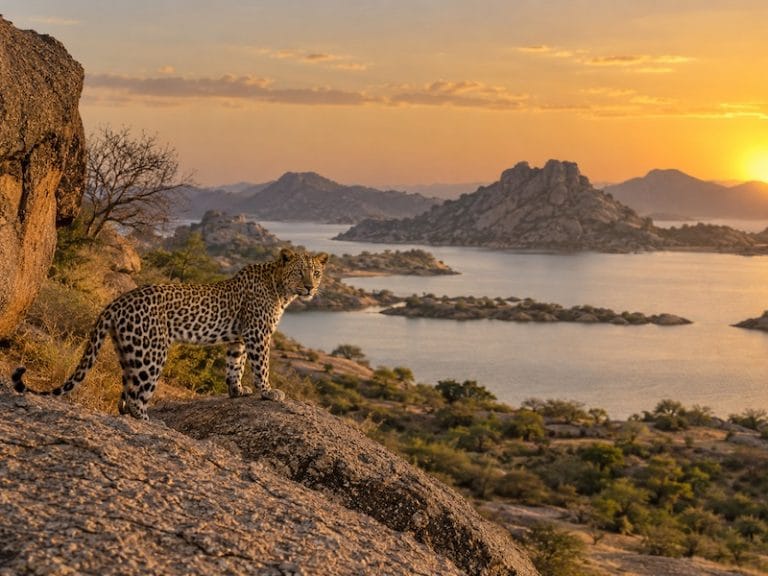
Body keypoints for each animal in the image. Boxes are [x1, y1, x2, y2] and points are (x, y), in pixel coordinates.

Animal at [12, 247, 329, 421]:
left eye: (316, 273)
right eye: (300, 272)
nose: (311, 287)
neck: (280, 288)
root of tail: (117, 301)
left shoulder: (239, 338)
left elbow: (234, 365)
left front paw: (237, 391)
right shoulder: (258, 334)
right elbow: (261, 366)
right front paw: (268, 391)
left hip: (129, 349)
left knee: (126, 393)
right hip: (152, 351)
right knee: (139, 395)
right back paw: (151, 421)